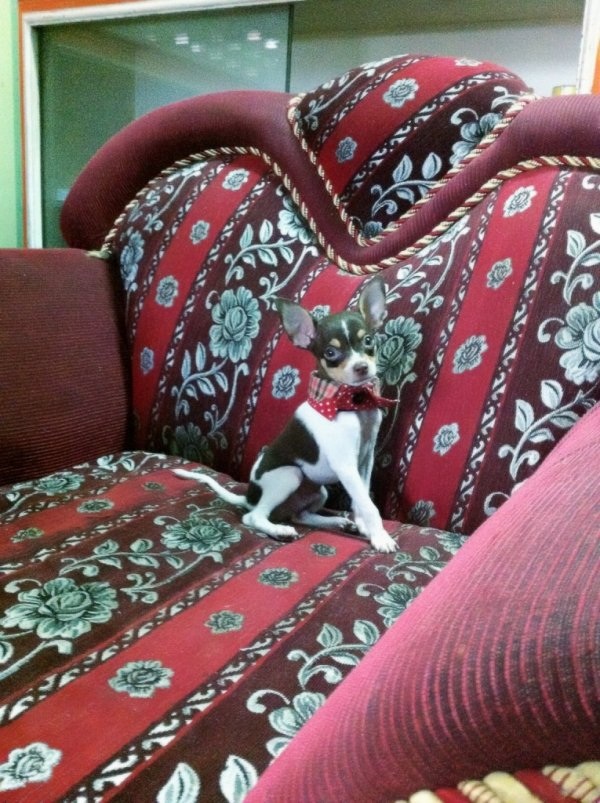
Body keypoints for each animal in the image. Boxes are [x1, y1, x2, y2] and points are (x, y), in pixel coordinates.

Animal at [174, 277, 397, 553]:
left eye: (367, 340)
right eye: (330, 353)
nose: (362, 367)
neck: (351, 403)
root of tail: (249, 497)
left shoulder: (364, 460)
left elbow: (361, 499)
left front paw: (366, 528)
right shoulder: (346, 465)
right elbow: (368, 504)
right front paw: (381, 537)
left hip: (317, 491)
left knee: (300, 515)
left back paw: (337, 522)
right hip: (290, 475)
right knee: (254, 517)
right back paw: (279, 530)